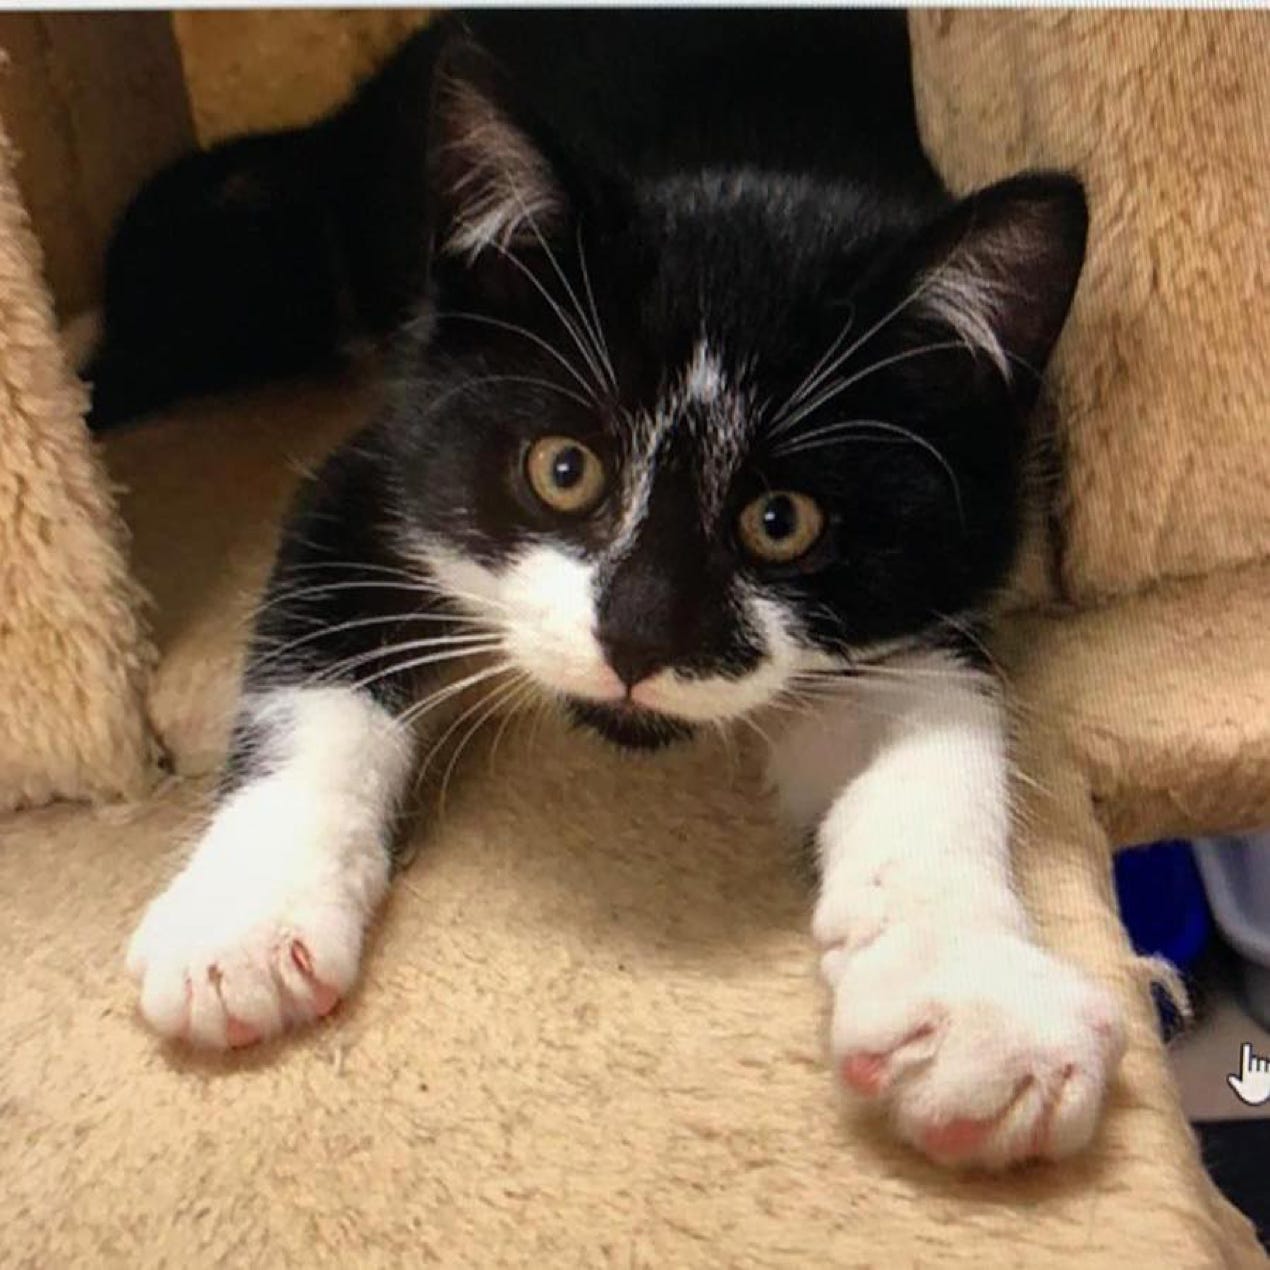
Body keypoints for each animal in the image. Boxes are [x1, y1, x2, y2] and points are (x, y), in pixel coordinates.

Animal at [115, 11, 1124, 1170]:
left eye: (782, 521)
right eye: (564, 469)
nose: (640, 639)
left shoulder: (940, 565)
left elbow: (933, 732)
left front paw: (973, 1001)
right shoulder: (387, 457)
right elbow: (312, 672)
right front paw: (243, 921)